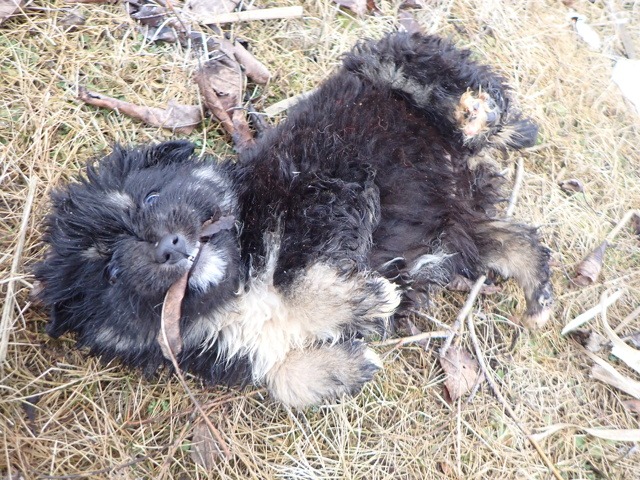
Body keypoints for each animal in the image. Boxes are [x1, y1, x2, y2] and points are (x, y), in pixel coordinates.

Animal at [34, 33, 552, 408]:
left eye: (153, 194)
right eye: (109, 271)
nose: (170, 246)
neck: (234, 290)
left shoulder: (320, 197)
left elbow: (299, 282)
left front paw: (366, 299)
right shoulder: (239, 349)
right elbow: (280, 376)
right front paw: (346, 365)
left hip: (395, 65)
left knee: (460, 87)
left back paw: (474, 113)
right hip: (463, 226)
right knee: (516, 239)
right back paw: (538, 297)